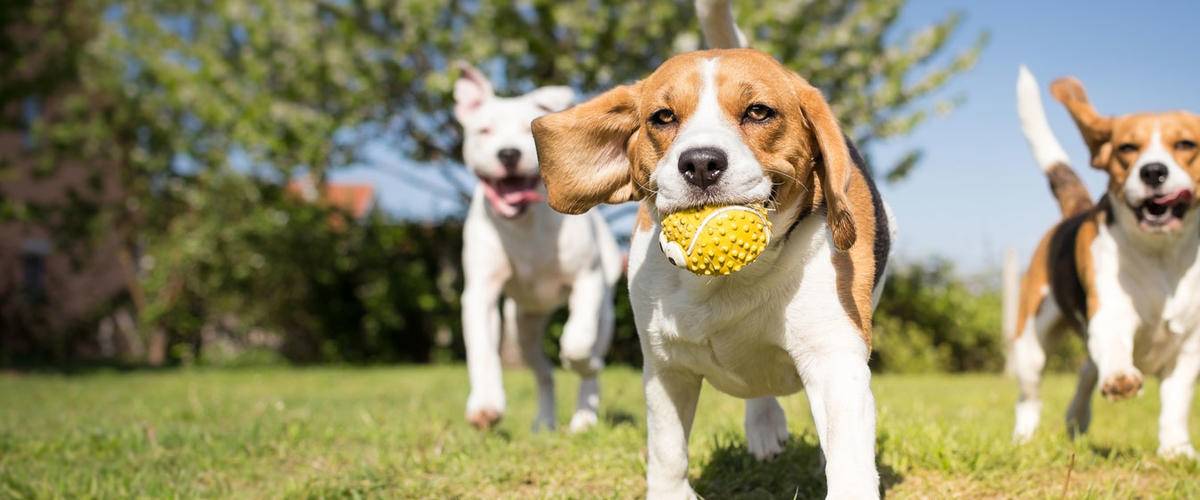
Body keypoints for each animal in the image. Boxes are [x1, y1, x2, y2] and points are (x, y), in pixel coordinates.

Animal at [451, 61, 628, 429]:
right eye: (484, 130)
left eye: (527, 130)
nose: (508, 153)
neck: (525, 224)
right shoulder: (480, 292)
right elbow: (481, 350)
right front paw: (485, 405)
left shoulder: (587, 281)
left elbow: (577, 342)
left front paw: (583, 363)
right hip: (523, 326)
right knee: (543, 372)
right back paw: (544, 422)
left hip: (605, 310)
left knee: (589, 357)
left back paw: (584, 417)